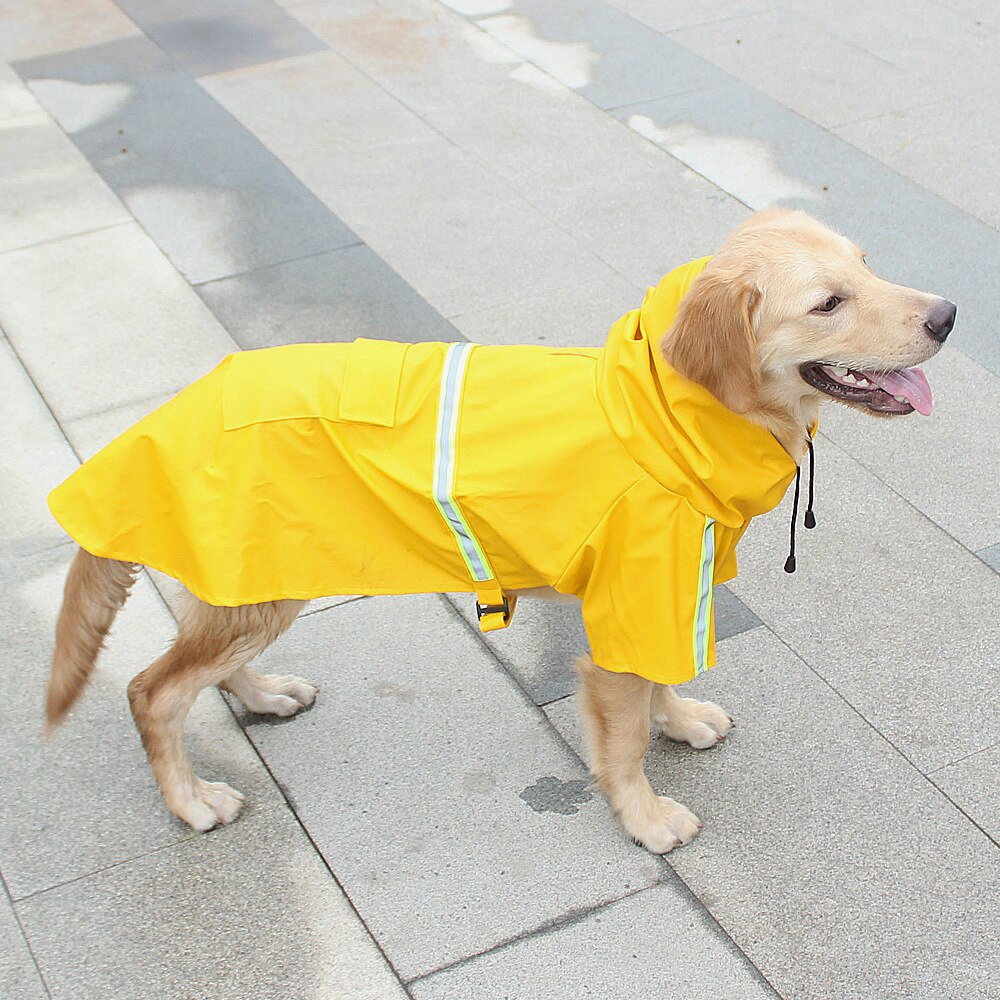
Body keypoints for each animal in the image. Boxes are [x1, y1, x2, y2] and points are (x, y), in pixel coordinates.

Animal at [45, 211, 952, 852]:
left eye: (868, 265)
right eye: (829, 302)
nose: (948, 313)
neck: (663, 417)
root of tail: (160, 419)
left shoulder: (658, 598)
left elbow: (658, 684)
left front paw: (680, 719)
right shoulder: (631, 601)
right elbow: (622, 736)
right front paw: (645, 817)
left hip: (257, 576)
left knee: (202, 664)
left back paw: (263, 694)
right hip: (255, 589)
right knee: (153, 692)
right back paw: (192, 801)